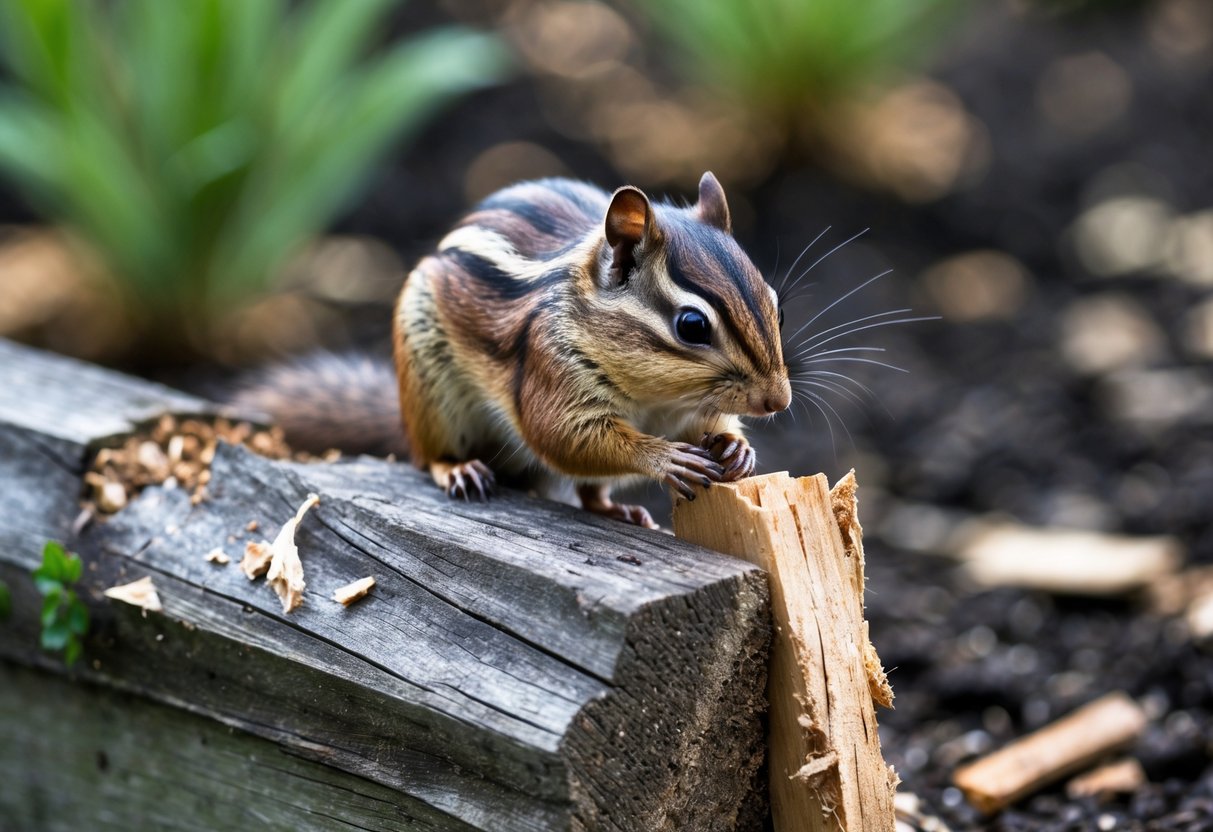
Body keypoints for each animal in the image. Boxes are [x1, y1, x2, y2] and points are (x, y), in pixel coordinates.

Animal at [235, 172, 790, 529]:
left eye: (775, 306)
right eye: (691, 325)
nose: (778, 401)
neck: (658, 400)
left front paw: (736, 447)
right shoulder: (549, 367)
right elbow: (565, 437)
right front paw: (663, 458)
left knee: (591, 491)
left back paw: (620, 510)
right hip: (430, 395)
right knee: (428, 457)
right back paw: (458, 468)